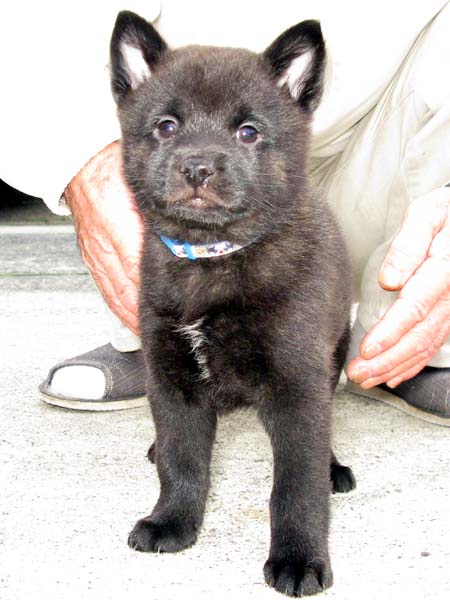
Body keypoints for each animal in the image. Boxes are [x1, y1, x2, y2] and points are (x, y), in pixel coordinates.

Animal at [110, 11, 355, 597]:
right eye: (166, 126)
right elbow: (181, 458)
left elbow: (296, 484)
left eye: (248, 132)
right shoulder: (171, 374)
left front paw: (298, 557)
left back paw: (333, 467)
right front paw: (172, 522)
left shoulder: (298, 385)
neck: (213, 259)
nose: (198, 168)